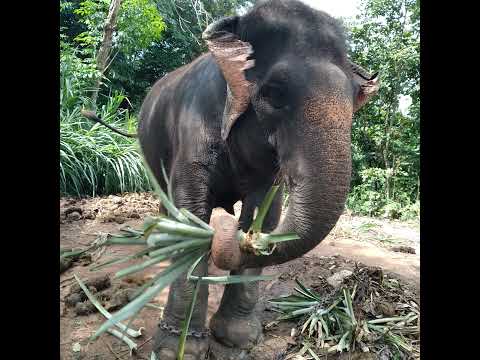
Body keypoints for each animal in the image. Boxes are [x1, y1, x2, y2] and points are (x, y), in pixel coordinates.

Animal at [85, 0, 378, 358]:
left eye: (355, 99)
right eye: (274, 95)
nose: (227, 233)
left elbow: (266, 214)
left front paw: (236, 338)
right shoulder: (193, 128)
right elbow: (191, 211)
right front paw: (177, 349)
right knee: (166, 201)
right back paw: (163, 250)